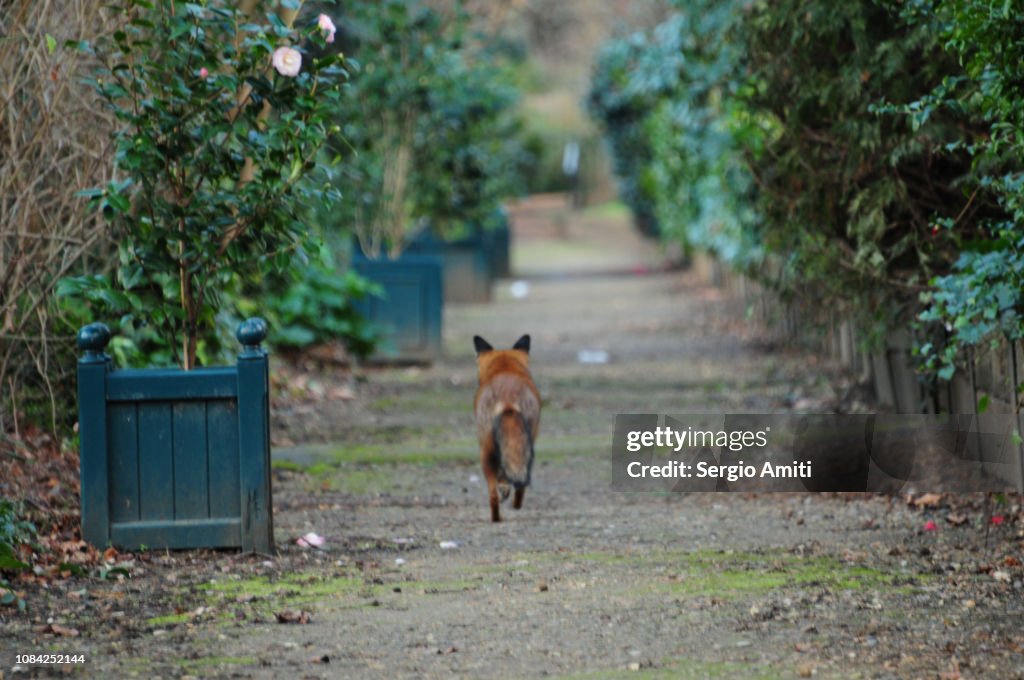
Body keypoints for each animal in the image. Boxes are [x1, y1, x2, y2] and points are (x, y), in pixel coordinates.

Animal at [471, 333, 540, 520]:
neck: (505, 368)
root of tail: (508, 399)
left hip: (485, 452)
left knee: (494, 494)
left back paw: (499, 517)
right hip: (526, 448)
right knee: (520, 482)